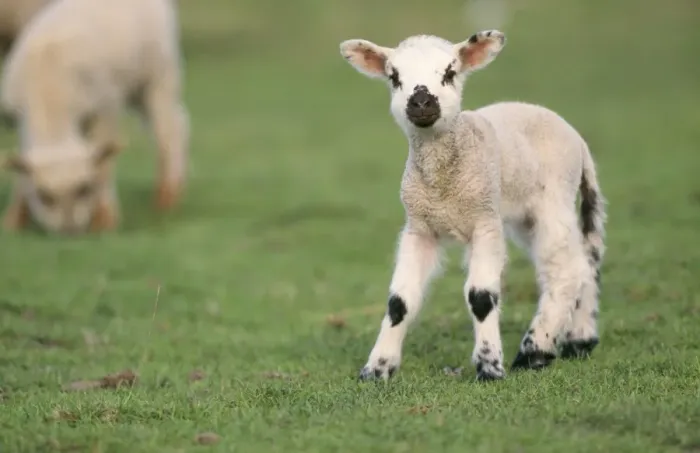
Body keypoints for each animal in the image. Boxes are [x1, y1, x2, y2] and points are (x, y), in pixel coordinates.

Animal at [1, 0, 189, 234]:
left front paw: (104, 222)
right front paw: (13, 222)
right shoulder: (19, 121)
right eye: (44, 195)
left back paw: (167, 199)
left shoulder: (106, 108)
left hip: (159, 75)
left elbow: (103, 165)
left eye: (85, 188)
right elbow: (22, 170)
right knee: (180, 122)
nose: (70, 232)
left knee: (168, 130)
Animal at [339, 30, 607, 381]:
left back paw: (536, 350)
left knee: (566, 270)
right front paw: (377, 369)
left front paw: (489, 366)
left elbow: (481, 297)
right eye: (394, 77)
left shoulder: (485, 221)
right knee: (582, 263)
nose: (421, 102)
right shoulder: (419, 227)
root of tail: (579, 140)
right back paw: (580, 339)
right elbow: (399, 302)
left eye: (450, 72)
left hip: (553, 197)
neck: (443, 184)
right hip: (526, 216)